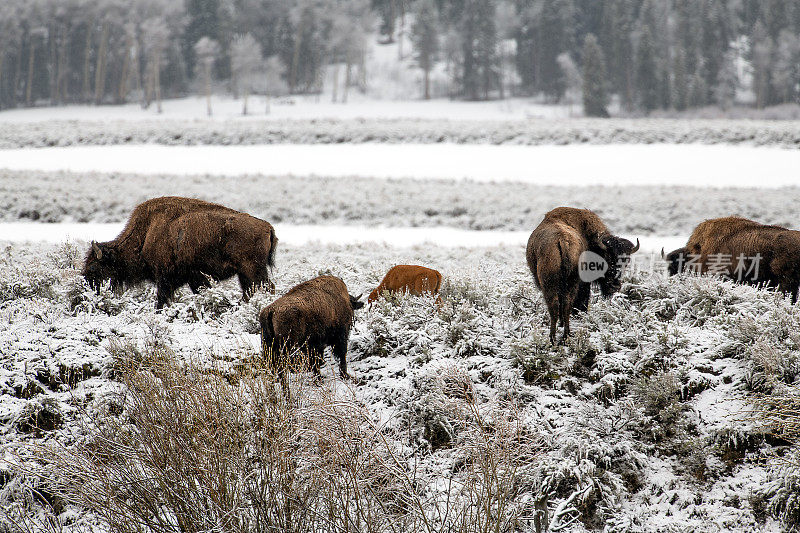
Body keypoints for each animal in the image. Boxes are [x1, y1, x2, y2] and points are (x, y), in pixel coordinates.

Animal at [83, 195, 278, 306]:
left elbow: (162, 298)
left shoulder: (165, 277)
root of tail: (267, 226)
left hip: (252, 269)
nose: (88, 292)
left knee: (266, 287)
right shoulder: (191, 277)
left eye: (93, 267)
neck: (146, 234)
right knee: (250, 290)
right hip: (245, 273)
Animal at [528, 206, 640, 342]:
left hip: (551, 285)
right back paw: (565, 335)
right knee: (566, 304)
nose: (615, 286)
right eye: (607, 257)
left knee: (555, 306)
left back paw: (553, 338)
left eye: (626, 262)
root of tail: (562, 240)